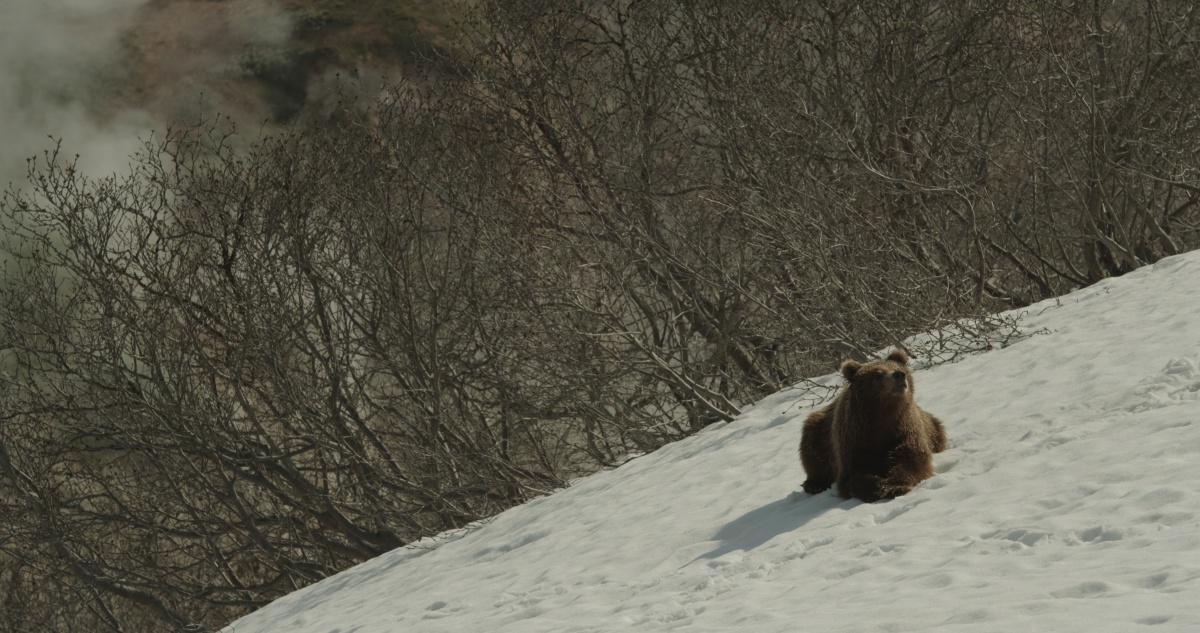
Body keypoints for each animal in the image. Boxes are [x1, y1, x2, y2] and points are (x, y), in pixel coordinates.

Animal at [796, 347, 945, 501]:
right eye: (877, 374)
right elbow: (854, 474)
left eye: (896, 368)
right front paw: (877, 486)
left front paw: (895, 486)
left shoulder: (905, 429)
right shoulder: (856, 437)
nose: (899, 375)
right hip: (818, 432)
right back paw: (814, 484)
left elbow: (912, 459)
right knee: (812, 453)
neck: (883, 415)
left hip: (934, 430)